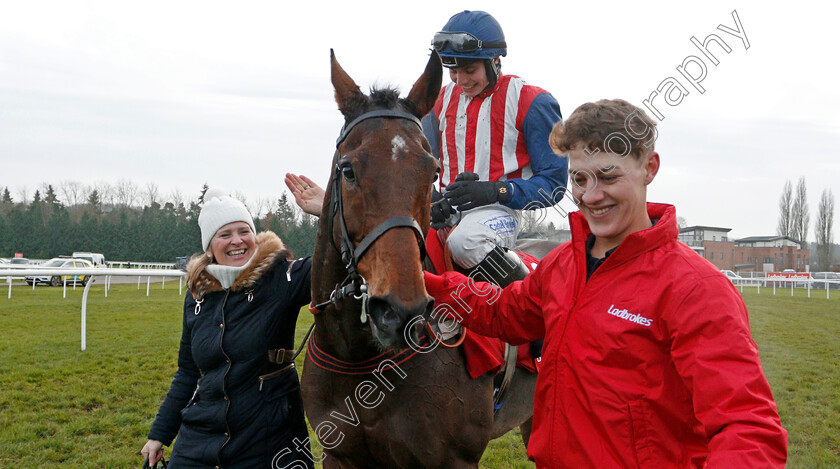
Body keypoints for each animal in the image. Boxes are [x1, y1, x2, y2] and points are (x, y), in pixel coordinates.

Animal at [300, 51, 540, 468]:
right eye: (348, 170)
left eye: (433, 171)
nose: (399, 311)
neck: (359, 358)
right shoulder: (339, 455)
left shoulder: (454, 459)